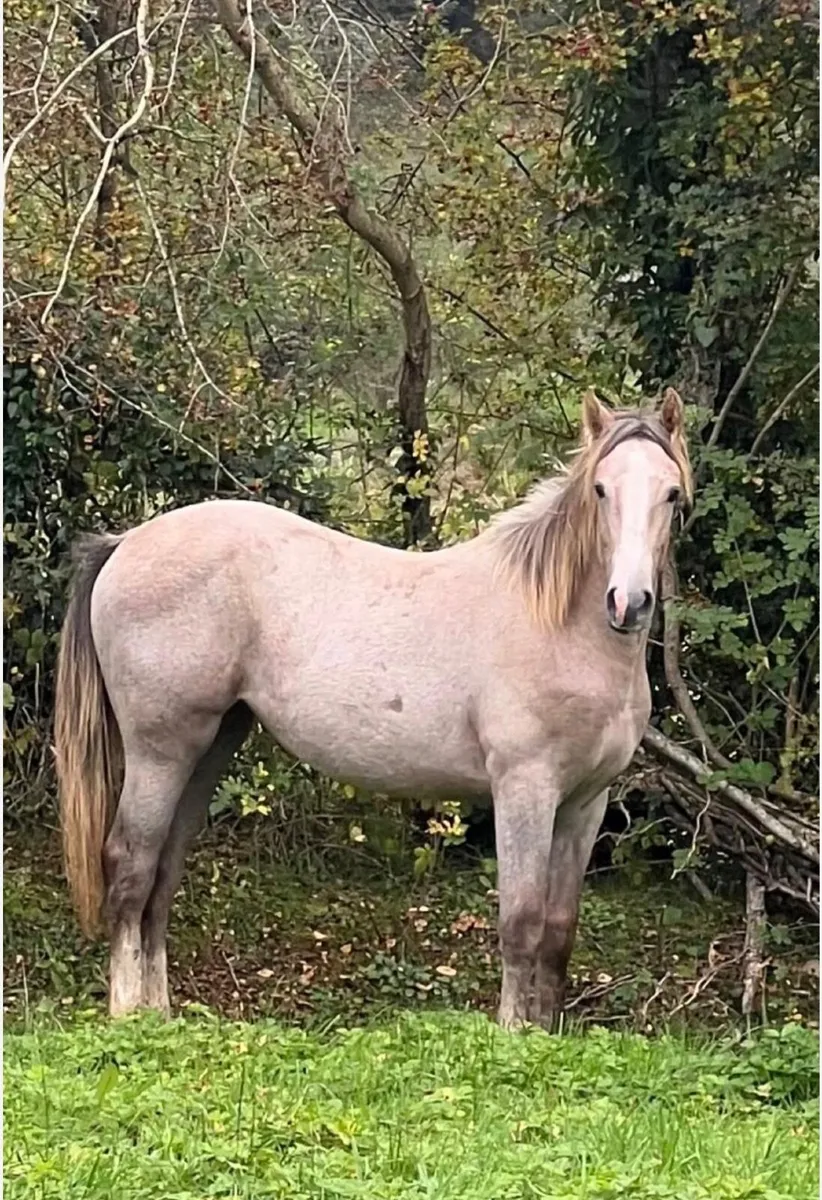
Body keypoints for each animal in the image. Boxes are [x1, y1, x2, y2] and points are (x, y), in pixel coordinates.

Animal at [54, 388, 692, 1028]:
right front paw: (513, 1032)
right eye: (601, 489)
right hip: (159, 752)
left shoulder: (586, 803)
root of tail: (124, 545)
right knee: (131, 866)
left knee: (163, 872)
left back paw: (157, 1014)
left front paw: (545, 1034)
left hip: (209, 746)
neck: (559, 626)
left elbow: (558, 932)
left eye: (671, 493)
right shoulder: (524, 789)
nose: (629, 603)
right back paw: (126, 1012)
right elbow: (522, 920)